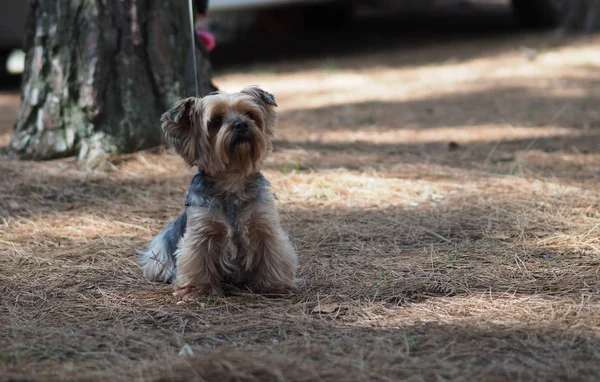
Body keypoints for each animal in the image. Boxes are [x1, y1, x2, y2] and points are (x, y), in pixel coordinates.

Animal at [139, 86, 300, 298]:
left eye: (250, 114)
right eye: (215, 121)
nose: (241, 124)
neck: (232, 181)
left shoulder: (264, 225)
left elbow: (273, 254)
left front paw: (276, 285)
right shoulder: (202, 231)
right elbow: (197, 260)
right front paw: (196, 290)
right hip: (162, 247)